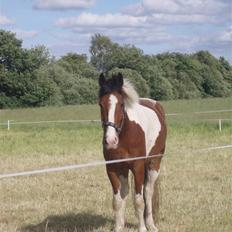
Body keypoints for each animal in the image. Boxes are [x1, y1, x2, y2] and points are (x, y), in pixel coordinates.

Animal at [98, 73, 167, 232]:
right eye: (101, 104)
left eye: (121, 105)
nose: (110, 140)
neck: (126, 135)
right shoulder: (112, 168)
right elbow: (117, 200)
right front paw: (118, 227)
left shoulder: (138, 167)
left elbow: (139, 201)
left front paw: (142, 228)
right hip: (124, 170)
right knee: (125, 192)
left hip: (154, 164)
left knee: (148, 192)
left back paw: (150, 224)